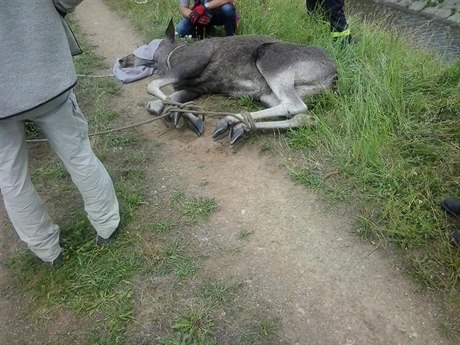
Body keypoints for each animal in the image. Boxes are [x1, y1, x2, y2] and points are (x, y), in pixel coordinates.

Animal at [122, 19, 338, 146]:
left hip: (270, 60)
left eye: (151, 47)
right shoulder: (195, 88)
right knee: (301, 116)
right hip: (270, 94)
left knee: (294, 105)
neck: (171, 56)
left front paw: (190, 117)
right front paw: (180, 113)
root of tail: (333, 76)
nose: (123, 60)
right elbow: (161, 102)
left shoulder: (190, 65)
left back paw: (230, 120)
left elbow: (152, 87)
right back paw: (240, 126)